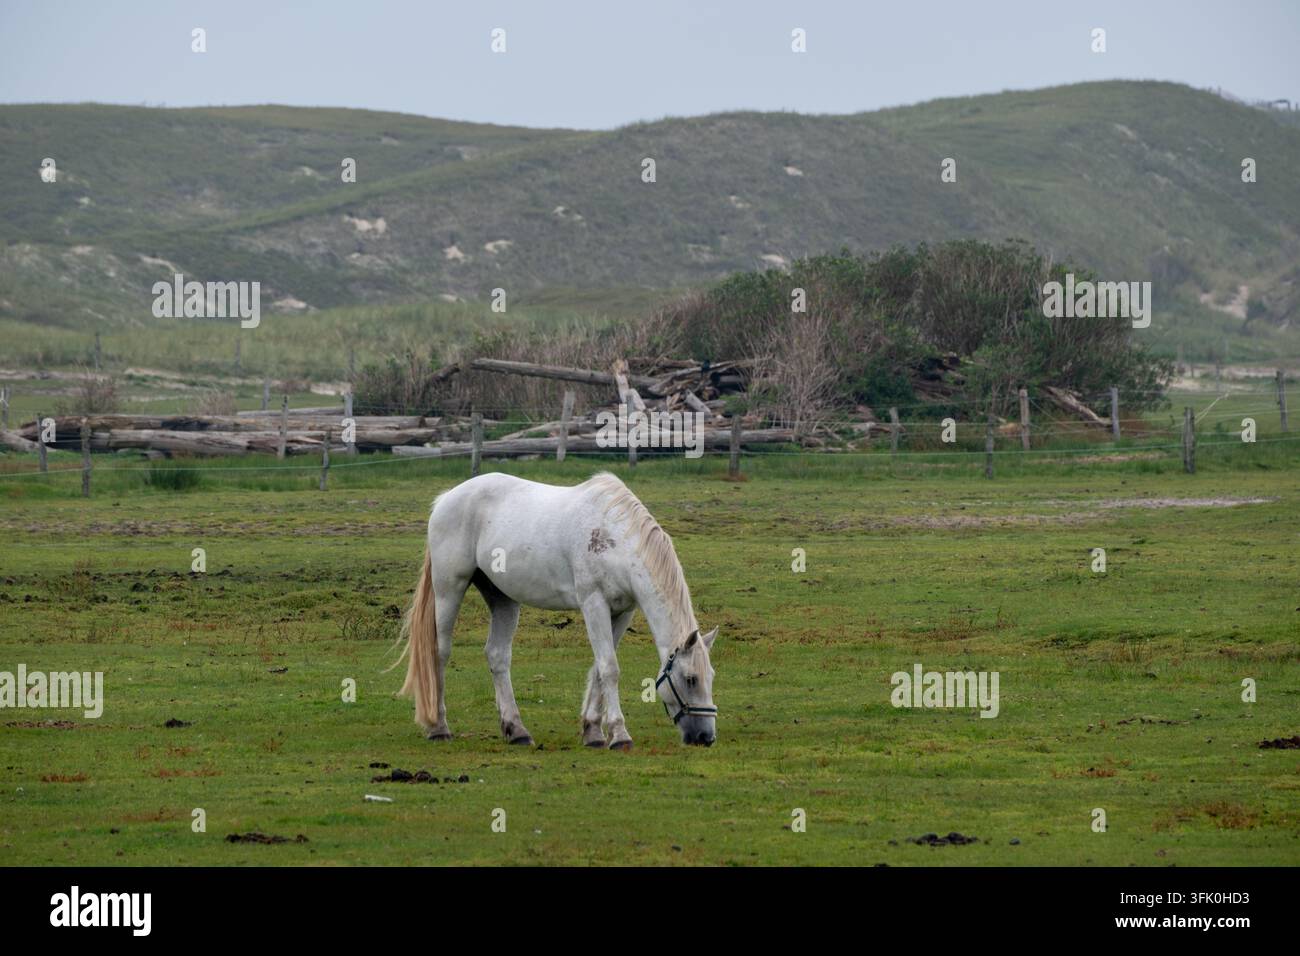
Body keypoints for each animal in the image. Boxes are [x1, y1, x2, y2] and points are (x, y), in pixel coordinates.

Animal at [396, 471, 718, 748]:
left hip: (503, 598)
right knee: (439, 652)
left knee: (498, 656)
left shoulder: (622, 612)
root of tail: (447, 498)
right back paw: (439, 727)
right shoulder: (593, 603)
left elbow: (599, 667)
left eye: (711, 676)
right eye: (691, 679)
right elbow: (609, 668)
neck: (613, 537)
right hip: (449, 588)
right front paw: (619, 734)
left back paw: (516, 730)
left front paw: (593, 731)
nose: (705, 737)